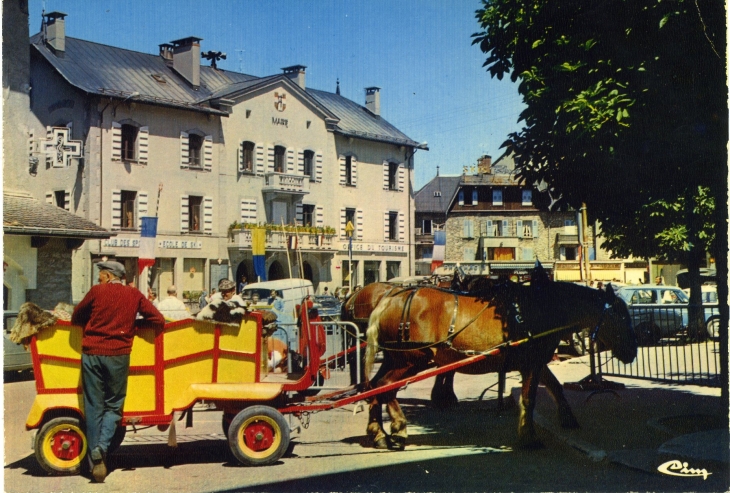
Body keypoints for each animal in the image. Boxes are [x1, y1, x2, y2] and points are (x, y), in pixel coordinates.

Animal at [362, 278, 636, 448]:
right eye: (620, 315)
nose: (632, 352)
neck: (541, 309)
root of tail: (390, 298)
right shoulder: (532, 364)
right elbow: (529, 399)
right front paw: (528, 437)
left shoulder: (536, 361)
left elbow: (555, 387)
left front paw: (568, 418)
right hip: (411, 360)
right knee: (385, 387)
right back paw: (398, 428)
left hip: (394, 359)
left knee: (373, 388)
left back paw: (378, 434)